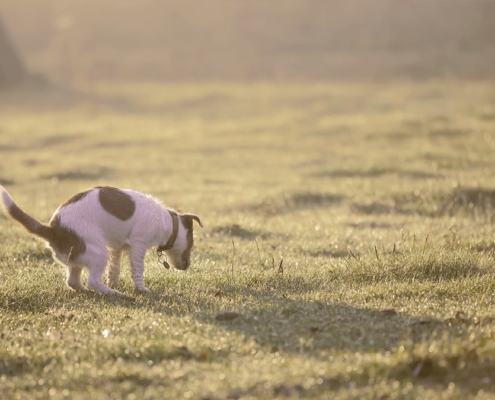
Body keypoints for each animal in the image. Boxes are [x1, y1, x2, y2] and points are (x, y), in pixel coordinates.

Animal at [0, 186, 203, 296]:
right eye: (191, 246)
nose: (187, 266)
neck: (167, 222)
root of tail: (53, 230)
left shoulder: (117, 248)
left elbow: (114, 269)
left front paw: (113, 282)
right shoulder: (138, 246)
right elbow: (138, 270)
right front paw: (140, 289)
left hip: (79, 256)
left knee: (73, 281)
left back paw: (92, 291)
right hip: (98, 252)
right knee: (93, 280)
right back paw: (113, 293)